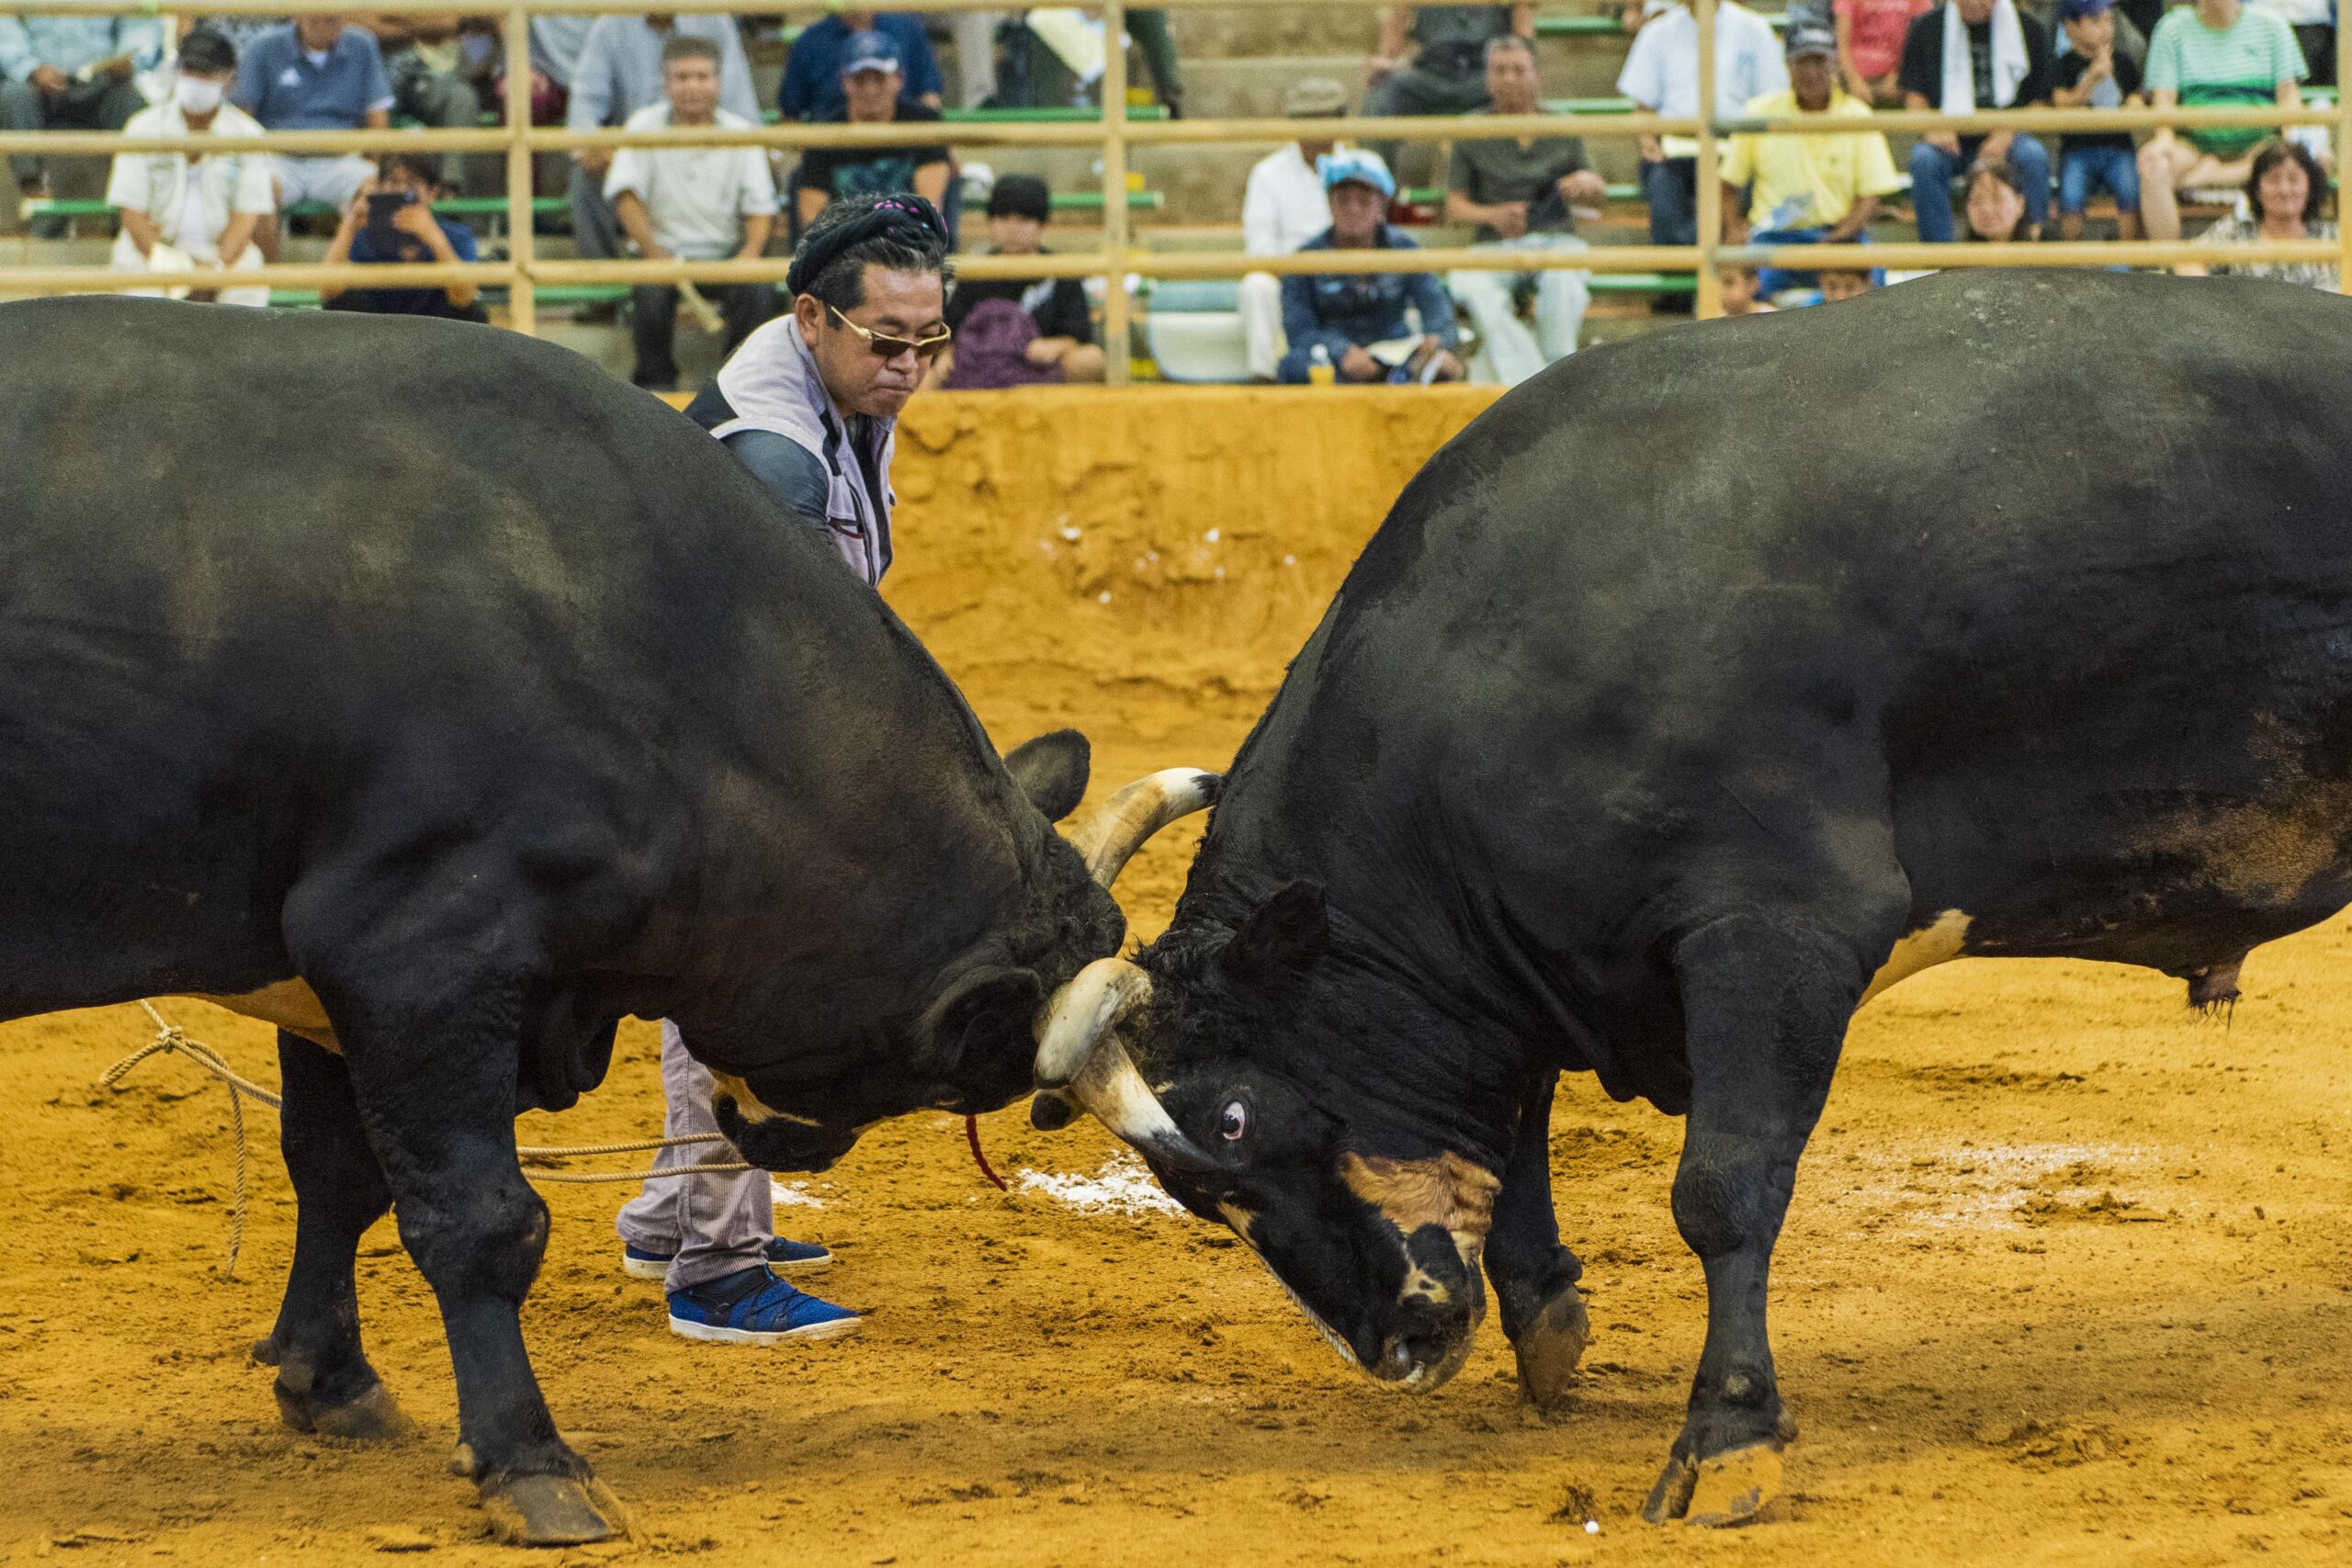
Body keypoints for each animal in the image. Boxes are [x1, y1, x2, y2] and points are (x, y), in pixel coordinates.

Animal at [0, 298, 1213, 1544]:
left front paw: (328, 1379)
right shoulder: (414, 954)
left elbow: (336, 1176)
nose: (792, 1138)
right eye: (952, 1069)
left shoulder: (328, 983)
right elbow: (478, 1217)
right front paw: (531, 1462)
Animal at [1028, 270, 2352, 1527]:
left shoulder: (1777, 933)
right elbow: (1514, 1132)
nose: (1394, 1341)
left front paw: (1729, 1437)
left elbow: (1723, 1189)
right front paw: (1548, 1313)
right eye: (1188, 1192)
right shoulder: (1529, 959)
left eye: (1234, 1119)